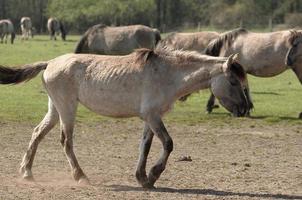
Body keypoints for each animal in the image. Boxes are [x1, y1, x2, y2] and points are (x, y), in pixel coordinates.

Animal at [0, 47, 248, 188]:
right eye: (233, 81)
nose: (245, 109)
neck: (168, 74)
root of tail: (50, 63)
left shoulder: (151, 118)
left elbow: (145, 146)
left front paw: (143, 178)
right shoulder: (153, 116)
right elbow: (168, 144)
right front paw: (154, 174)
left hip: (55, 109)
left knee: (37, 134)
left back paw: (27, 173)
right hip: (67, 109)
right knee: (66, 142)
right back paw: (80, 176)